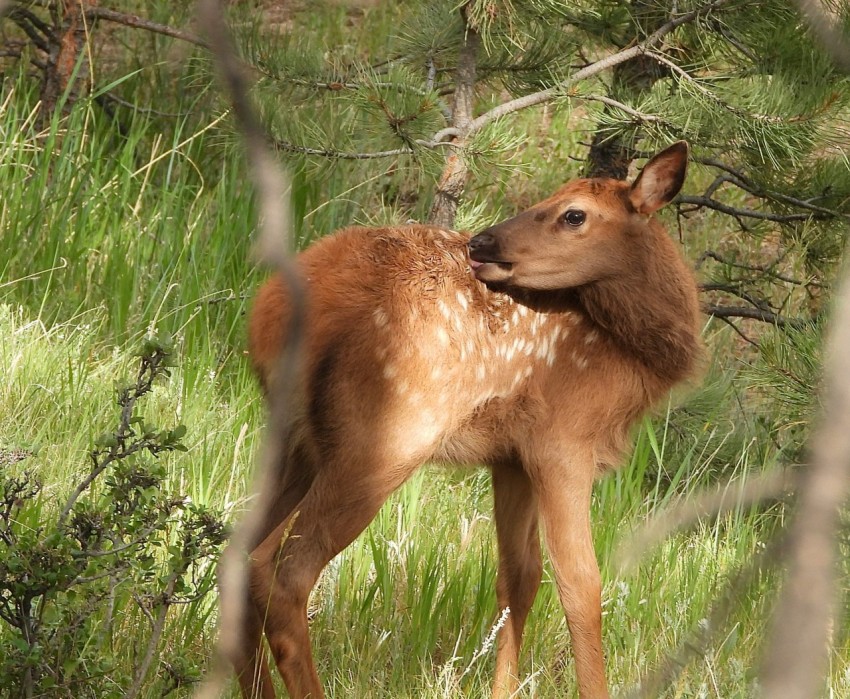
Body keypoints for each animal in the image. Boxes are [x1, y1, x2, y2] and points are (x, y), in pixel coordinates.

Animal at [235, 139, 700, 696]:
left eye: (573, 214)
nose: (482, 241)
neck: (631, 357)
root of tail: (273, 310)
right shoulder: (562, 441)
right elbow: (581, 583)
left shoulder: (511, 457)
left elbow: (520, 576)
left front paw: (503, 689)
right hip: (382, 438)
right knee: (285, 573)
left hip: (295, 440)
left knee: (240, 554)